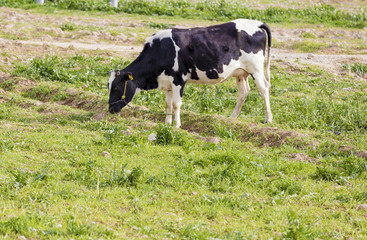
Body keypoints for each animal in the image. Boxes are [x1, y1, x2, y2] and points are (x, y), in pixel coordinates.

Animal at [108, 18, 272, 127]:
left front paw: (176, 125)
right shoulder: (167, 82)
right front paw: (167, 123)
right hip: (241, 72)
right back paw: (232, 118)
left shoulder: (179, 79)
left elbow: (176, 104)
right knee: (244, 91)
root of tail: (256, 23)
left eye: (116, 87)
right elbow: (168, 104)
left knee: (264, 89)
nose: (110, 110)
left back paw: (268, 119)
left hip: (256, 69)